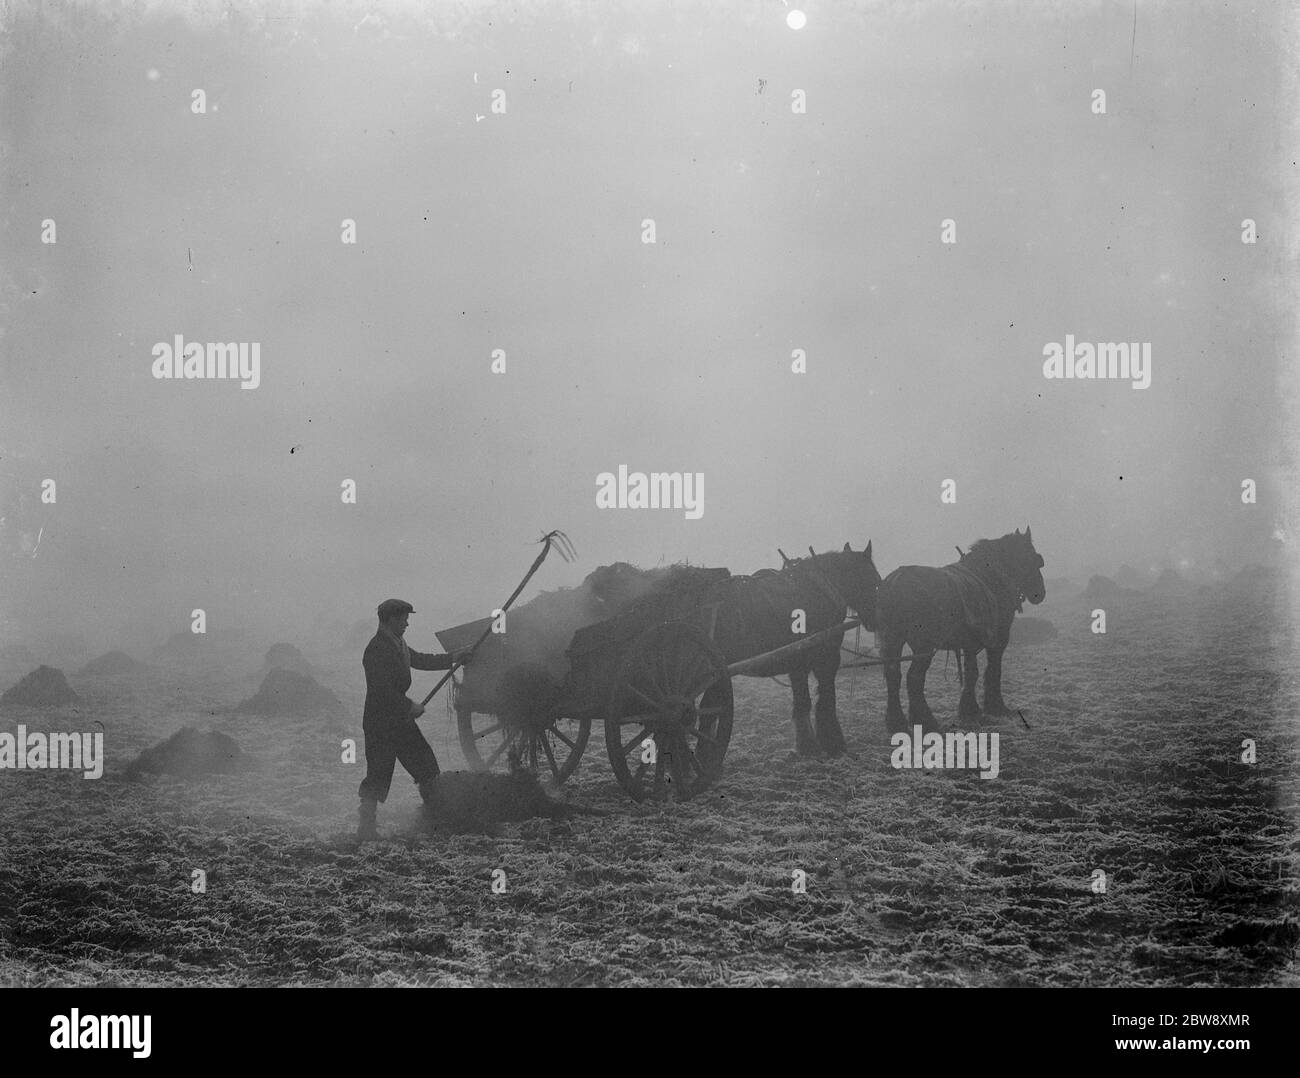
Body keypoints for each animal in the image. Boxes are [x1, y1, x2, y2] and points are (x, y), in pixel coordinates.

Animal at [712, 543, 883, 754]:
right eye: (875, 580)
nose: (877, 619)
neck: (819, 591)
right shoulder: (825, 659)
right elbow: (823, 699)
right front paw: (828, 743)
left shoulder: (797, 664)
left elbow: (802, 701)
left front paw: (807, 744)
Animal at [873, 527, 1045, 733]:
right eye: (1033, 558)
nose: (1040, 593)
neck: (990, 576)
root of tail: (895, 582)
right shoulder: (999, 638)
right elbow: (993, 669)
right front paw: (995, 706)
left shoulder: (970, 640)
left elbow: (972, 672)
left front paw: (969, 709)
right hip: (923, 646)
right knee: (913, 678)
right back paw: (926, 720)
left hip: (892, 641)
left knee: (893, 676)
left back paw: (896, 722)